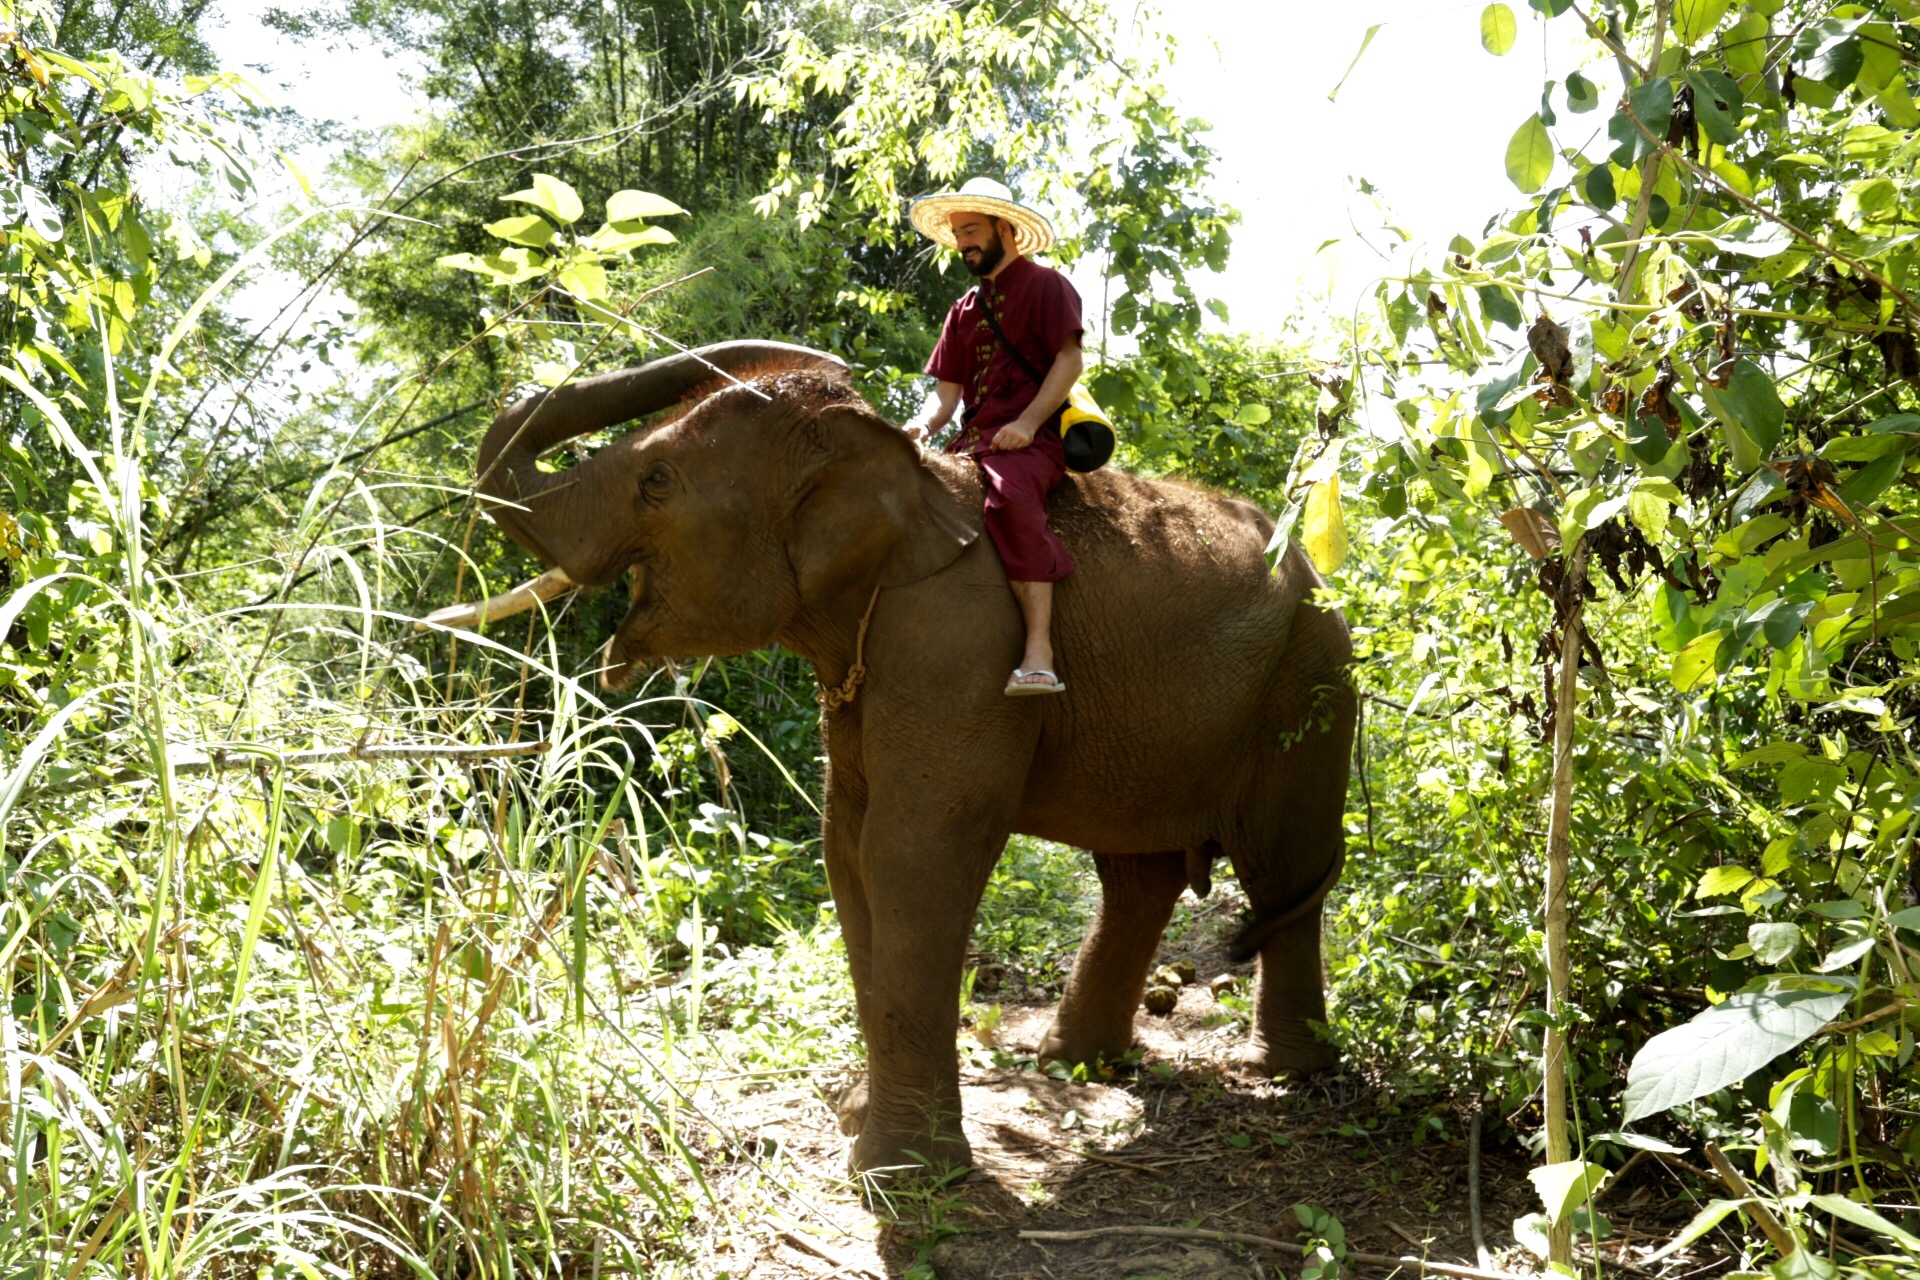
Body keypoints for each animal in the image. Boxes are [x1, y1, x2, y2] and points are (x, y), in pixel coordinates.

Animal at [424, 339, 1351, 1182]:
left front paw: (900, 1174)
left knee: (1280, 864)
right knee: (1140, 875)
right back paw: (1074, 1063)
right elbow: (848, 850)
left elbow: (912, 854)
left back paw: (1284, 1070)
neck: (899, 475)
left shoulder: (957, 646)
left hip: (1309, 686)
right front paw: (856, 1124)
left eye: (656, 481)